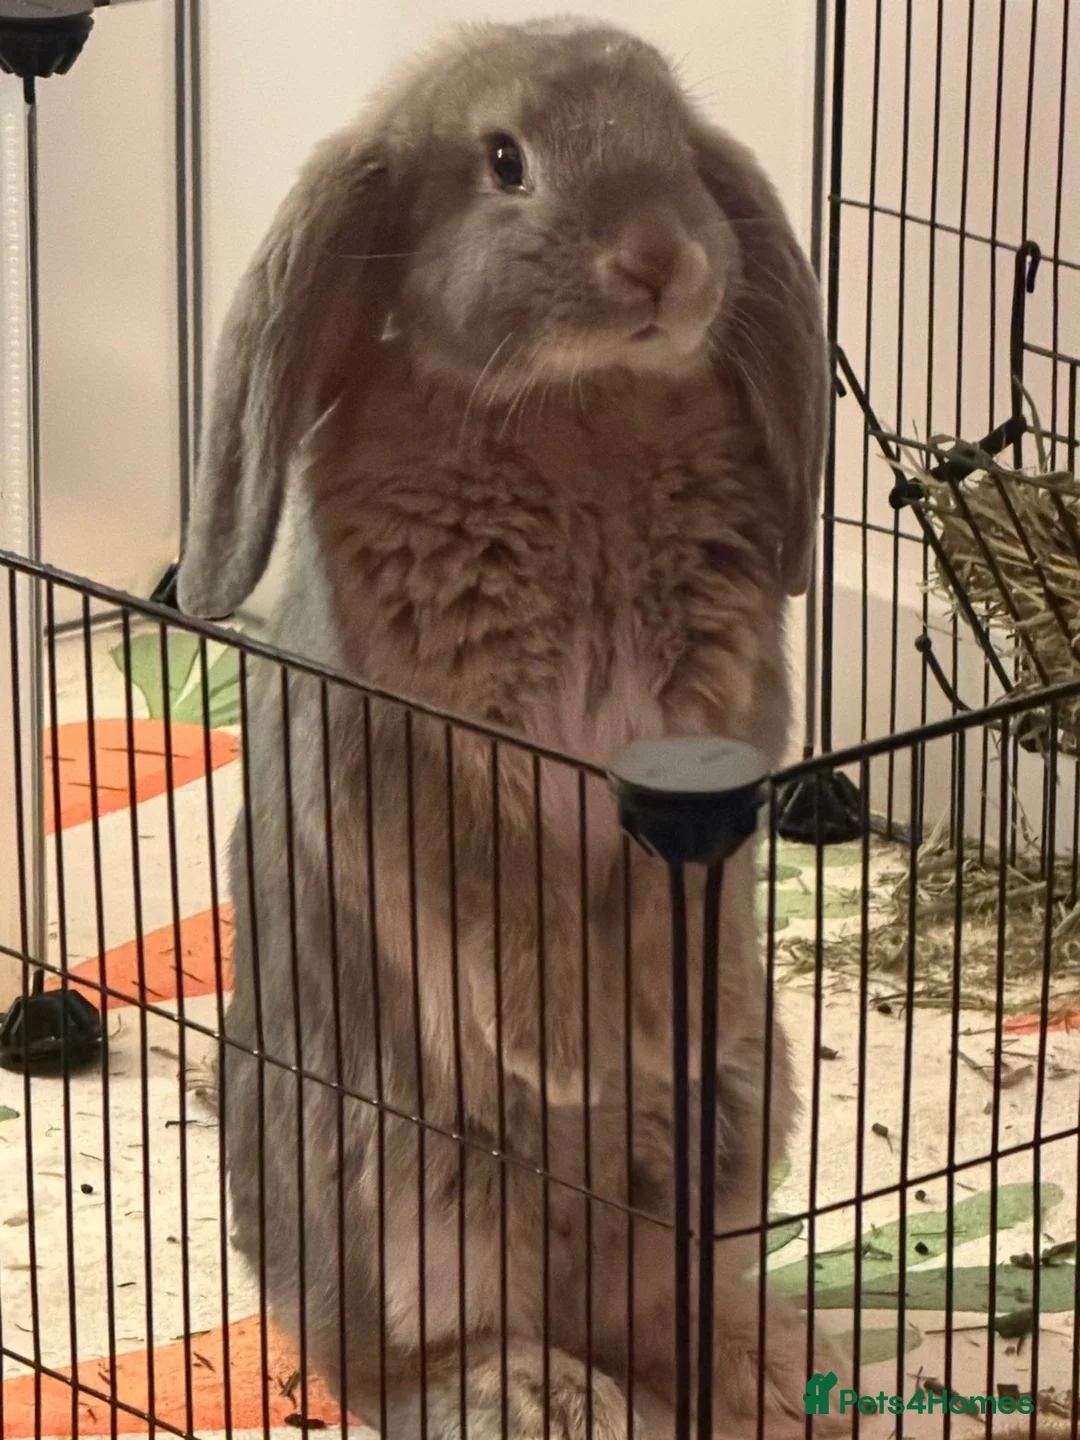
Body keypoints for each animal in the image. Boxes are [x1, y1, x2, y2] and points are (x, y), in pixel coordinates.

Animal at [176, 16, 840, 1440]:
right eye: (502, 162)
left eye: (676, 142)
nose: (663, 258)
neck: (579, 411)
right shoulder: (410, 758)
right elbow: (489, 887)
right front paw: (575, 1051)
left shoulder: (715, 724)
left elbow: (673, 882)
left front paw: (666, 1015)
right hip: (398, 1195)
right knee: (399, 1364)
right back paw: (542, 1395)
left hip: (732, 1130)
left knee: (652, 1309)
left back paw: (765, 1367)